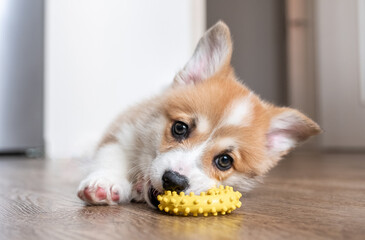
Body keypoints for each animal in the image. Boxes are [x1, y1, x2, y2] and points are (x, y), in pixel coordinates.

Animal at [76, 21, 318, 208]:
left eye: (224, 161)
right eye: (180, 128)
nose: (173, 180)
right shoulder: (124, 130)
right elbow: (111, 154)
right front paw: (104, 184)